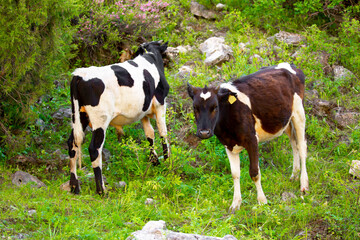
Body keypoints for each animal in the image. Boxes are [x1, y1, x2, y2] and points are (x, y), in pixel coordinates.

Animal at [67, 40, 170, 195]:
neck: (150, 56)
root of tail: (80, 74)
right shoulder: (160, 103)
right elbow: (163, 132)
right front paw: (168, 161)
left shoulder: (143, 112)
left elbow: (149, 134)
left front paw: (155, 161)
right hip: (100, 119)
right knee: (94, 149)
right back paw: (101, 190)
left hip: (80, 116)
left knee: (72, 143)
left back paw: (75, 187)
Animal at [187, 62, 308, 214]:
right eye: (195, 107)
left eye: (215, 107)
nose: (204, 132)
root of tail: (288, 64)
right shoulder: (228, 145)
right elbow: (235, 174)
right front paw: (235, 204)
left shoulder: (252, 140)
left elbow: (254, 172)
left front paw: (262, 201)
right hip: (285, 118)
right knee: (293, 142)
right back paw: (294, 175)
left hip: (299, 112)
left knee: (302, 146)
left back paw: (304, 184)